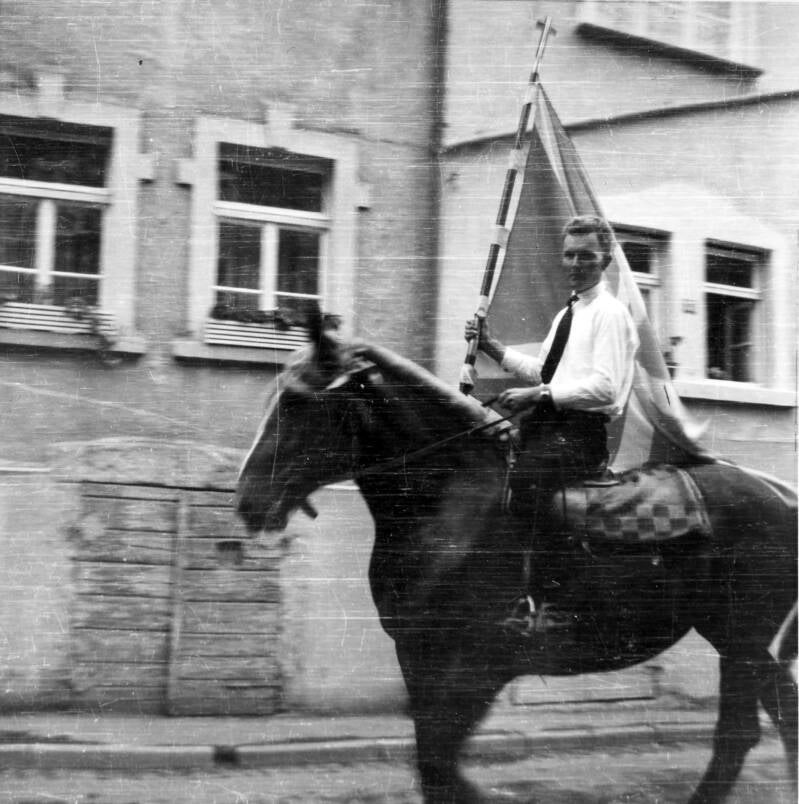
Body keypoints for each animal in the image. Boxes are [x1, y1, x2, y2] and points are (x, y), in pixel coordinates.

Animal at [236, 326, 798, 804]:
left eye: (296, 401)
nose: (247, 500)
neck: (448, 503)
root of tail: (781, 493)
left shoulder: (476, 666)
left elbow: (439, 762)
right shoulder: (417, 658)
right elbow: (433, 762)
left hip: (741, 635)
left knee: (740, 732)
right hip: (732, 634)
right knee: (778, 713)